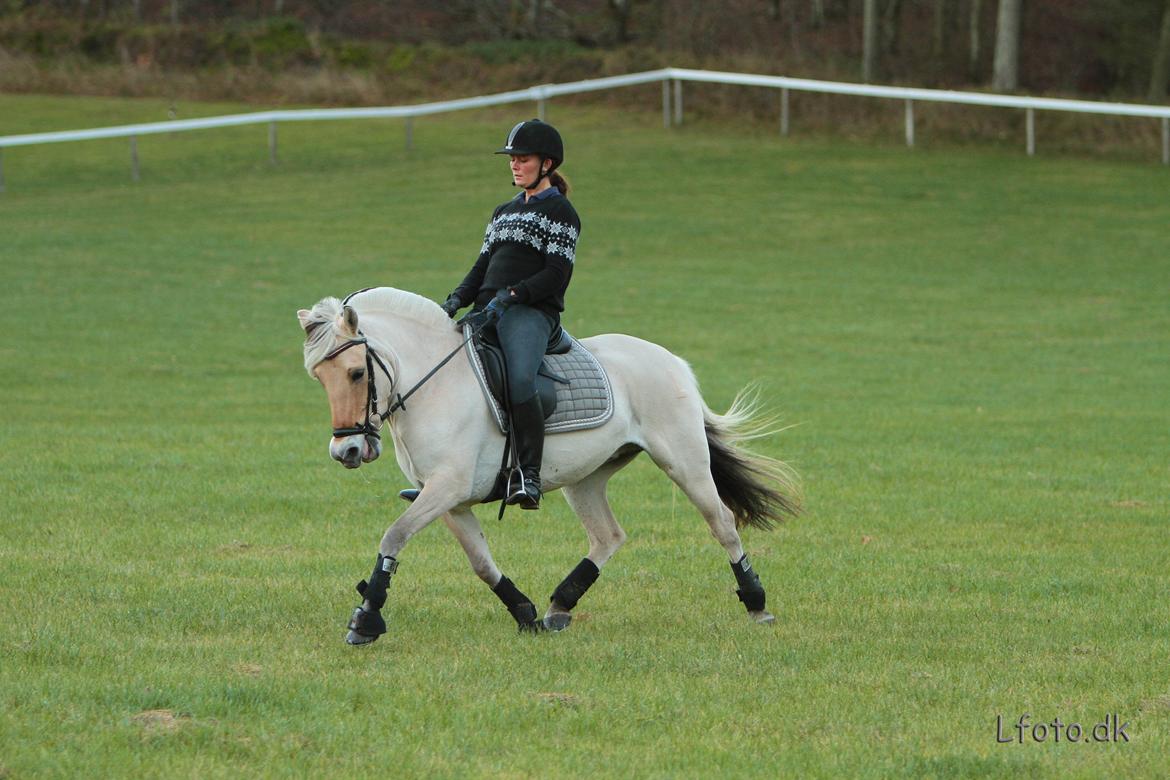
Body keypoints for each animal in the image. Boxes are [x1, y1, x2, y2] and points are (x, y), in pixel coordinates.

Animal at [297, 288, 800, 645]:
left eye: (356, 373)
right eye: (318, 377)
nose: (346, 451)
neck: (434, 386)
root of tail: (670, 359)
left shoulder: (447, 487)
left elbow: (393, 536)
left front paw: (365, 619)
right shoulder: (448, 499)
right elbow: (481, 562)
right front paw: (524, 613)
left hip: (684, 461)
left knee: (723, 523)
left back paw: (757, 604)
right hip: (588, 479)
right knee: (608, 536)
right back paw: (559, 605)